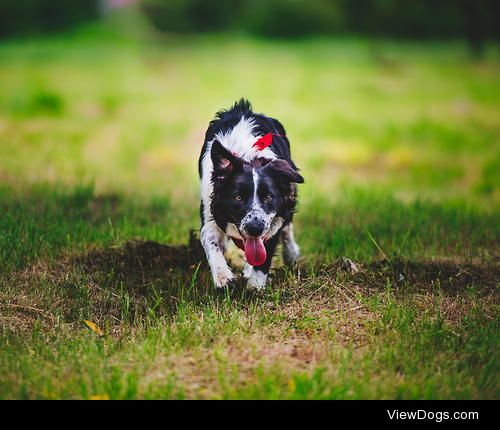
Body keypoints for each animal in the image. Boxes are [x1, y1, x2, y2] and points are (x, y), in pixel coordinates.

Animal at [197, 99, 302, 290]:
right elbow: (210, 240)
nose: (255, 228)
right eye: (238, 197)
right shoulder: (210, 207)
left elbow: (265, 253)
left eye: (268, 197)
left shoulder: (272, 221)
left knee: (287, 227)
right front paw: (223, 277)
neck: (248, 157)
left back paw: (291, 254)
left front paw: (255, 286)